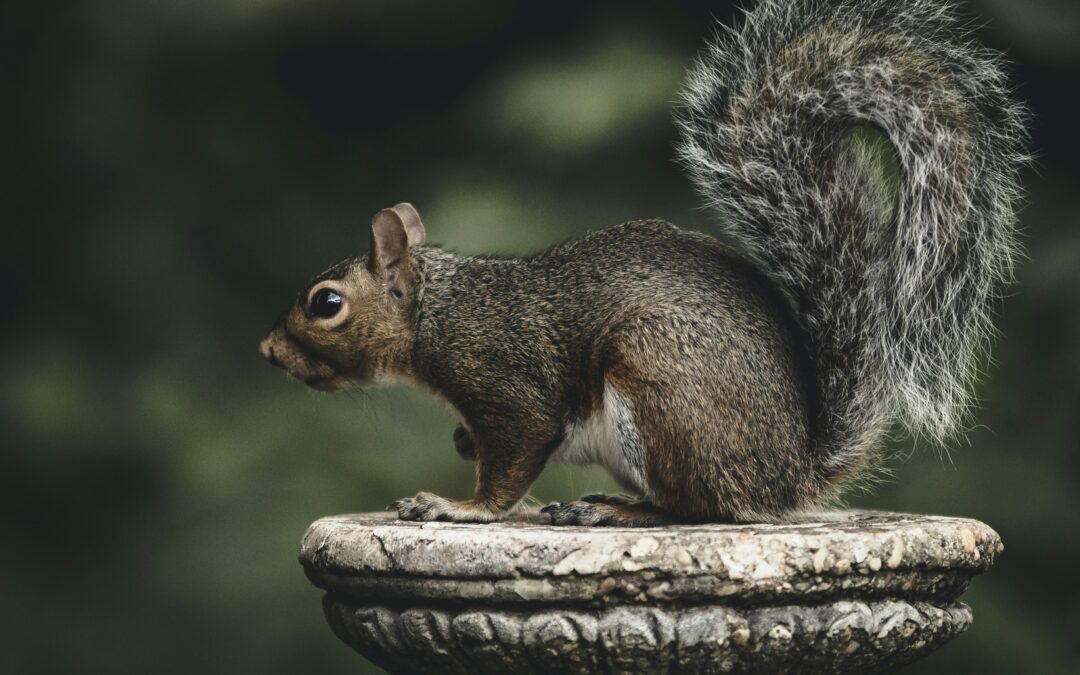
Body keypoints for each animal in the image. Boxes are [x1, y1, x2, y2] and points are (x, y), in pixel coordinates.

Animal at [259, 0, 1027, 526]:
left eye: (326, 303)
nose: (268, 351)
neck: (439, 312)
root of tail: (790, 475)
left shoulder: (509, 382)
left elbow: (513, 461)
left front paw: (459, 506)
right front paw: (457, 447)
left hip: (660, 383)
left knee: (702, 508)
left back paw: (616, 510)